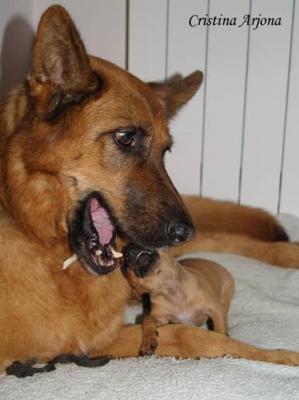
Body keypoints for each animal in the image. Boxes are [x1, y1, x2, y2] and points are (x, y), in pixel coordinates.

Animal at [0, 3, 299, 372]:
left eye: (165, 150)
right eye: (125, 137)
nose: (184, 232)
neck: (32, 227)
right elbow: (191, 336)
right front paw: (276, 356)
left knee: (222, 239)